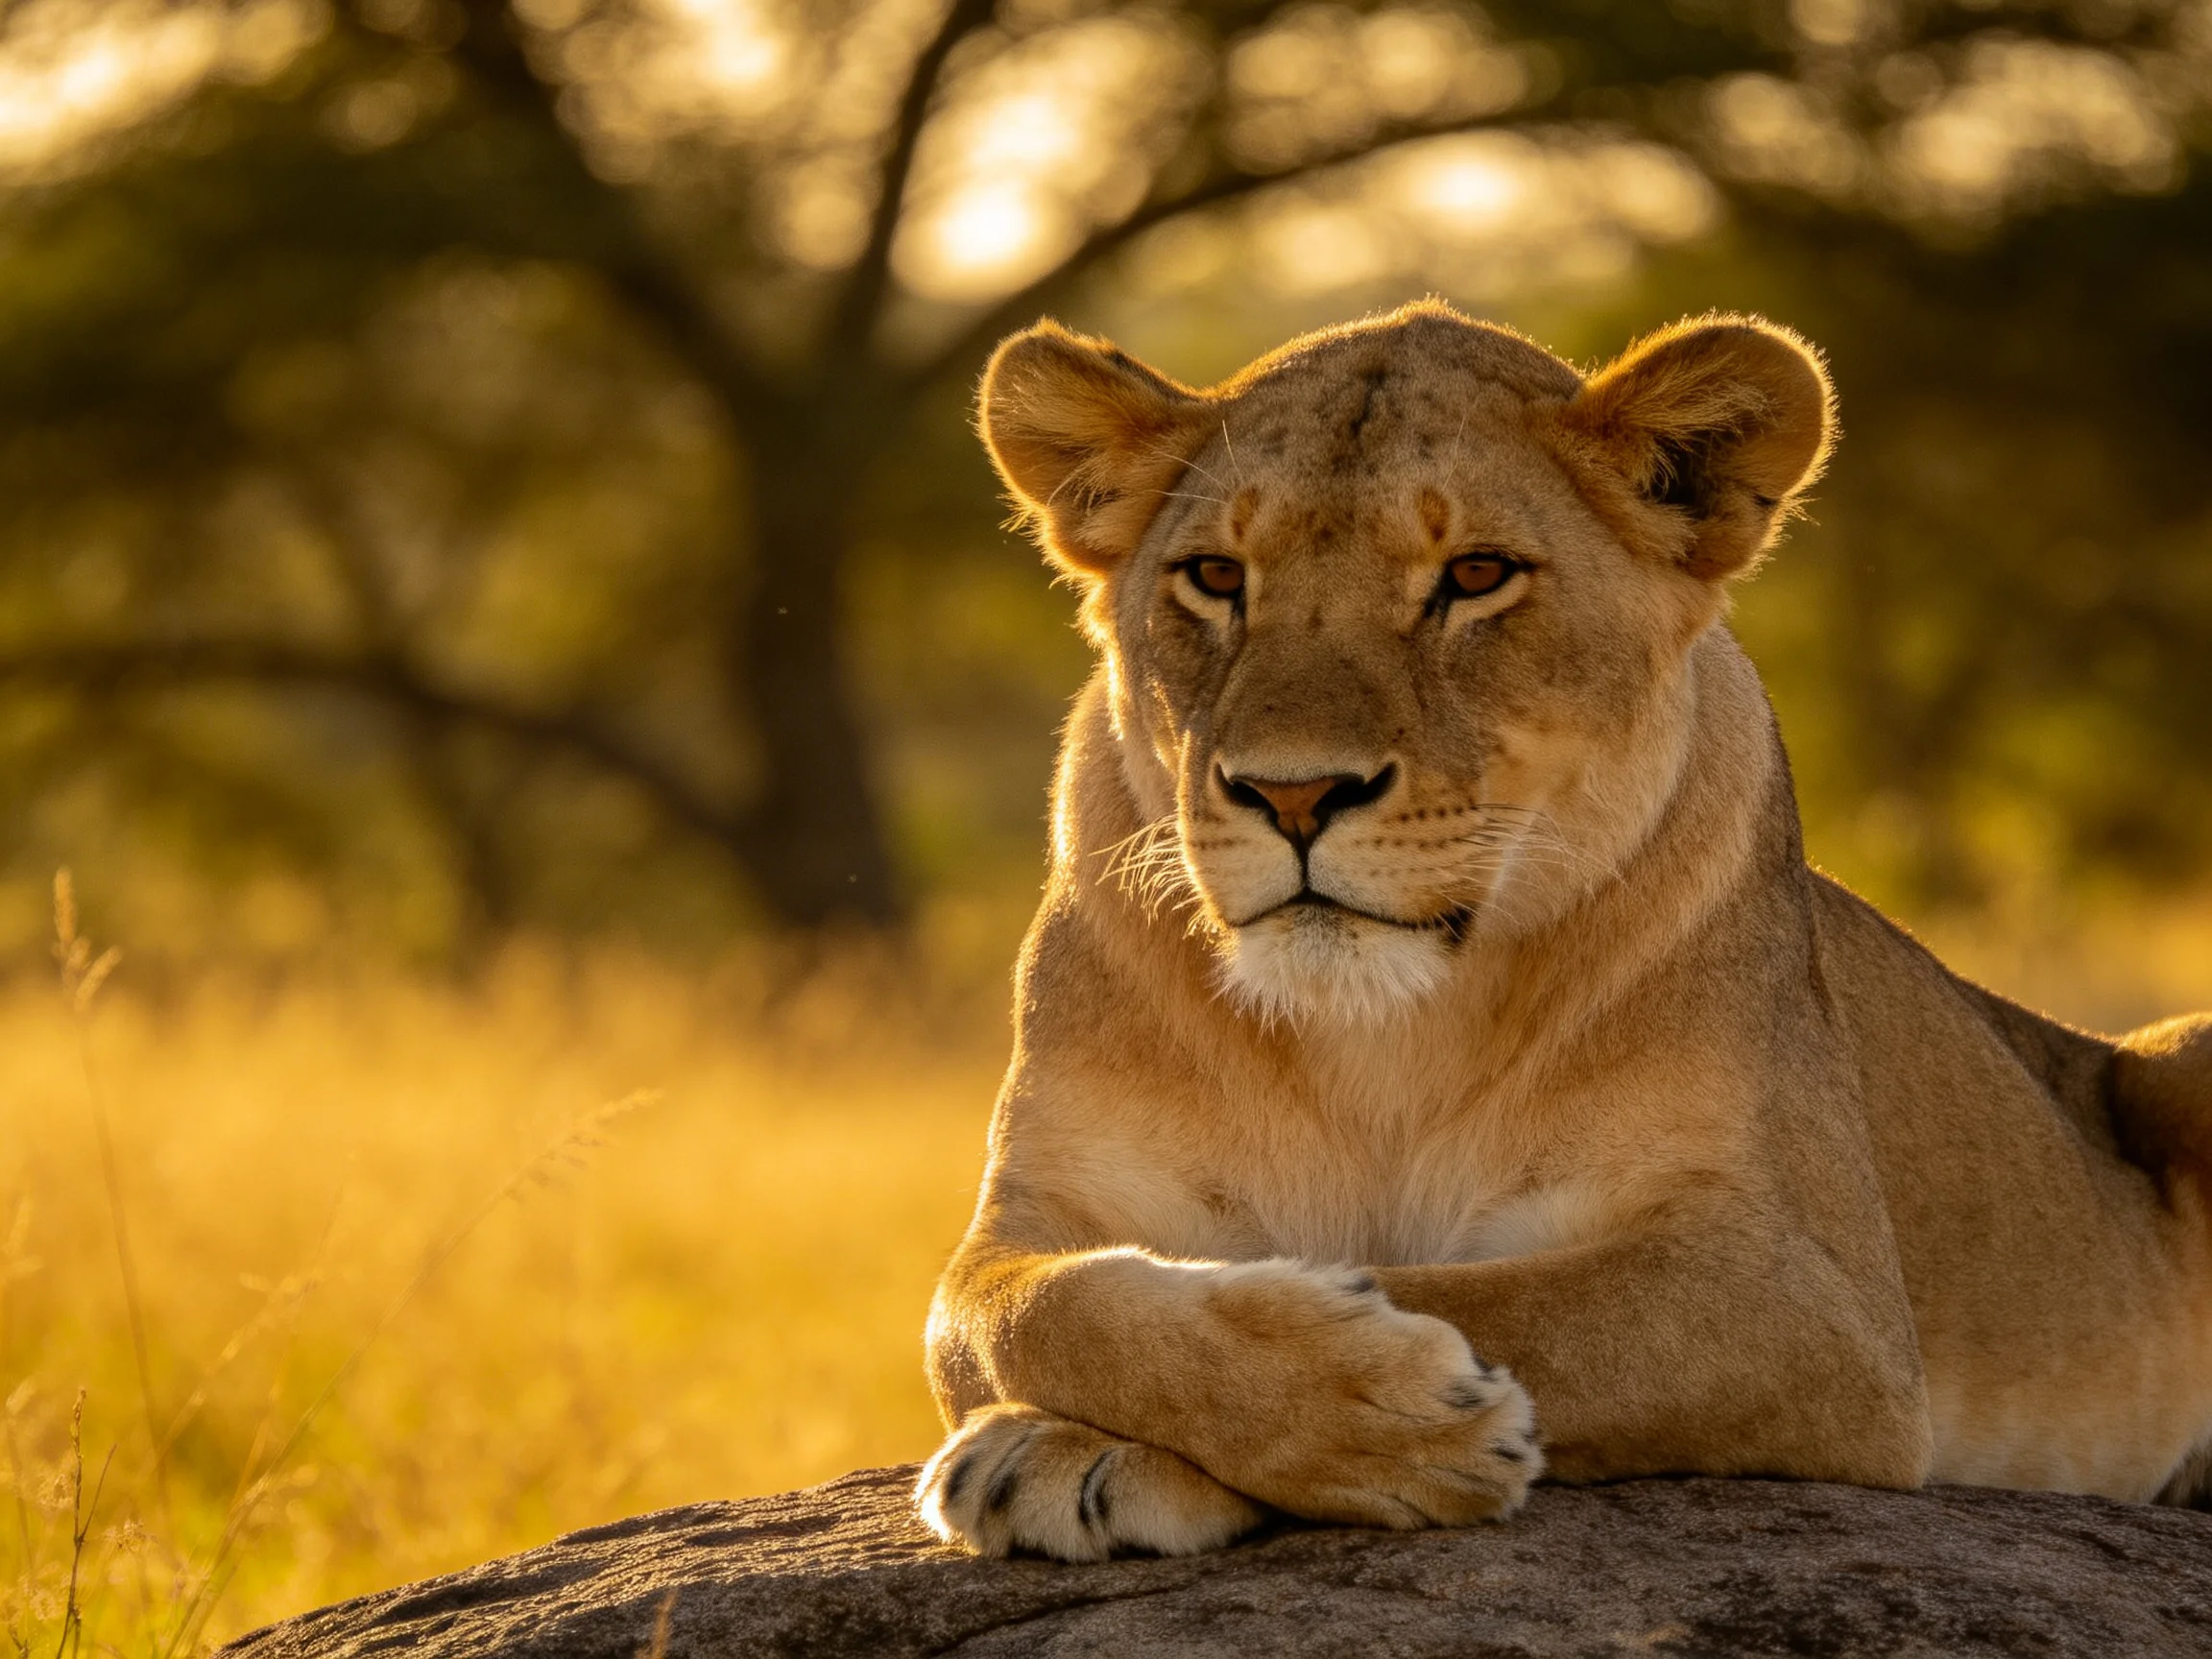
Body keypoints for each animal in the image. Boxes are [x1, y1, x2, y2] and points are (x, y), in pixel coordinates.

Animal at [913, 300, 2212, 1562]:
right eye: (1217, 575)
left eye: (1478, 573)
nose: (1295, 793)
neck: (1374, 1037)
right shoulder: (1039, 1209)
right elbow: (1020, 1311)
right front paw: (1060, 1446)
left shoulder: (1804, 1295)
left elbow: (1494, 1299)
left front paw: (1388, 1409)